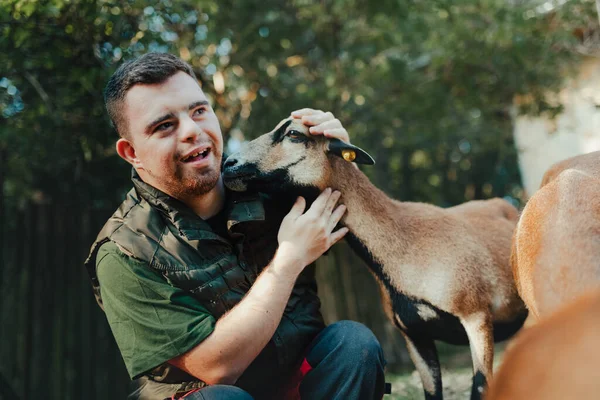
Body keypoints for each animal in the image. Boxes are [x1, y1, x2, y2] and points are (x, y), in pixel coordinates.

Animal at [223, 119, 528, 400]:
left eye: (294, 133)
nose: (228, 163)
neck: (406, 245)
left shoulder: (476, 317)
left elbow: (480, 388)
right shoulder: (414, 334)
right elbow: (432, 393)